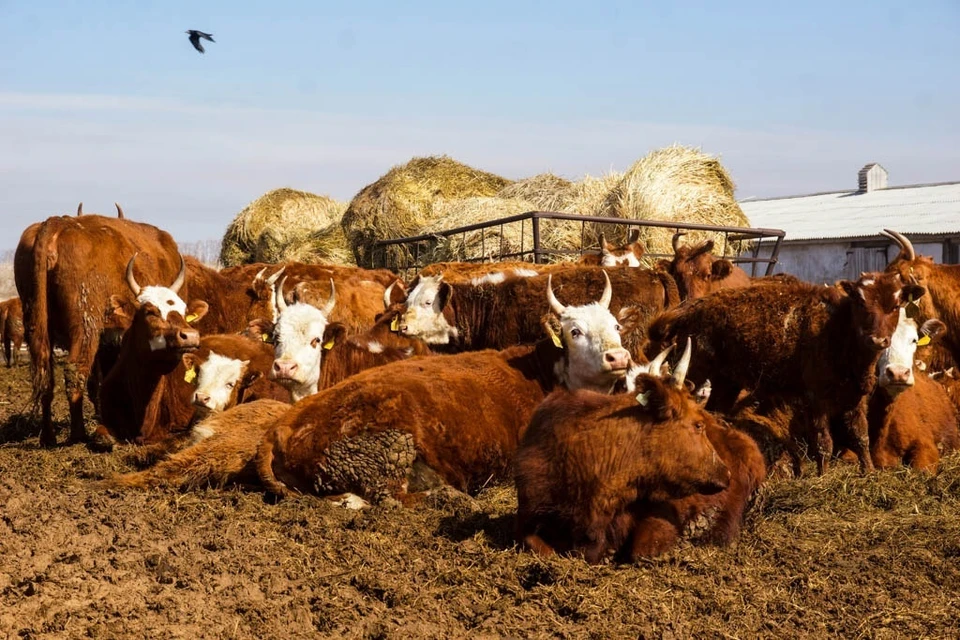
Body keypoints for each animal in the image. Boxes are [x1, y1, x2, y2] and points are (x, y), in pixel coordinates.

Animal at [14, 215, 185, 444]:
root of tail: (57, 222)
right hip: (85, 327)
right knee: (75, 370)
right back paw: (78, 434)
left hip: (38, 326)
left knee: (45, 375)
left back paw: (48, 437)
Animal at [648, 272, 928, 472]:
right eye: (860, 302)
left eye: (896, 305)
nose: (878, 339)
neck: (837, 328)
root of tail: (692, 308)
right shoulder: (816, 399)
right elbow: (823, 442)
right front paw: (822, 476)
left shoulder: (855, 397)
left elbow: (860, 435)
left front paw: (868, 472)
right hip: (695, 370)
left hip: (727, 382)